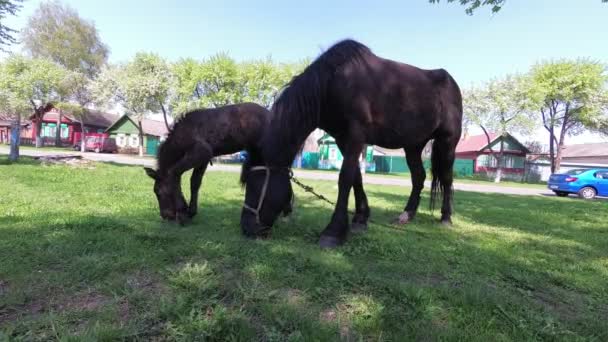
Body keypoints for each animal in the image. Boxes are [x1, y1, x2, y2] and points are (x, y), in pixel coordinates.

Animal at [144, 103, 280, 223]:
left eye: (158, 192)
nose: (165, 216)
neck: (183, 135)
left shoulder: (202, 152)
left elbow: (175, 172)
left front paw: (182, 211)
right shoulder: (204, 159)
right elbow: (195, 182)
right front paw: (191, 212)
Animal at [240, 40, 464, 247]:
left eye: (256, 185)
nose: (247, 228)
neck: (334, 82)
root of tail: (451, 83)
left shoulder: (356, 136)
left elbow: (345, 177)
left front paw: (334, 231)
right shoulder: (342, 138)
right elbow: (356, 177)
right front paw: (360, 218)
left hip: (447, 142)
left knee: (446, 178)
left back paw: (446, 217)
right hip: (413, 146)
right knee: (419, 177)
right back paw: (407, 215)